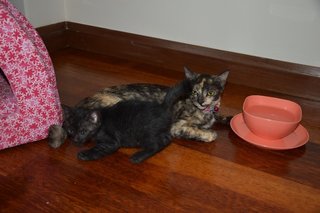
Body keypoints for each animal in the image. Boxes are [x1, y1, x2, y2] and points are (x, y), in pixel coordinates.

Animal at [47, 67, 230, 149]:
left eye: (211, 92)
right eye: (194, 92)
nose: (201, 101)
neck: (205, 112)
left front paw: (228, 118)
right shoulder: (177, 125)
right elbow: (197, 130)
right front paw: (208, 133)